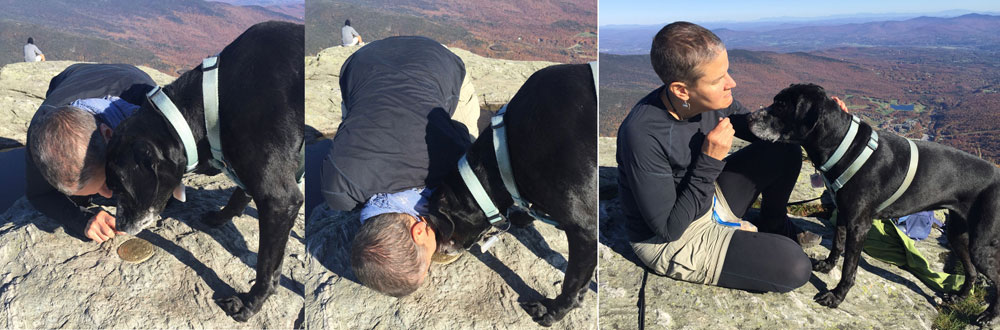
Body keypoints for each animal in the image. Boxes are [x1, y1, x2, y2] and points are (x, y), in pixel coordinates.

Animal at [105, 21, 302, 322]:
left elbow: (266, 268)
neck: (215, 99)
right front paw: (219, 217)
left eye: (118, 186)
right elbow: (238, 195)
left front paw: (249, 305)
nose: (119, 226)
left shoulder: (279, 199)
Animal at [426, 63, 596, 326]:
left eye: (436, 222)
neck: (503, 151)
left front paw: (551, 312)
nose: (435, 253)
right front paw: (522, 216)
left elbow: (572, 286)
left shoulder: (586, 229)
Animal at [752, 84, 1000, 326]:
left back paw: (989, 316)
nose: (749, 117)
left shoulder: (859, 226)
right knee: (971, 272)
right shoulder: (844, 215)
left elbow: (849, 269)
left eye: (781, 105)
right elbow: (837, 245)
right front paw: (827, 266)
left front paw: (836, 297)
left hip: (980, 245)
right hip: (958, 234)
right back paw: (959, 297)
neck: (844, 147)